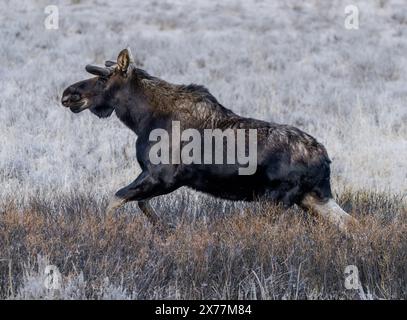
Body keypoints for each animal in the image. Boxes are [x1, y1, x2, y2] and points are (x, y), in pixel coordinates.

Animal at [62, 47, 356, 231]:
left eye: (103, 79)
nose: (68, 94)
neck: (140, 120)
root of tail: (325, 159)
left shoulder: (163, 176)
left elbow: (114, 202)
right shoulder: (157, 178)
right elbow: (139, 203)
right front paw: (165, 228)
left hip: (275, 199)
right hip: (314, 197)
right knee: (352, 223)